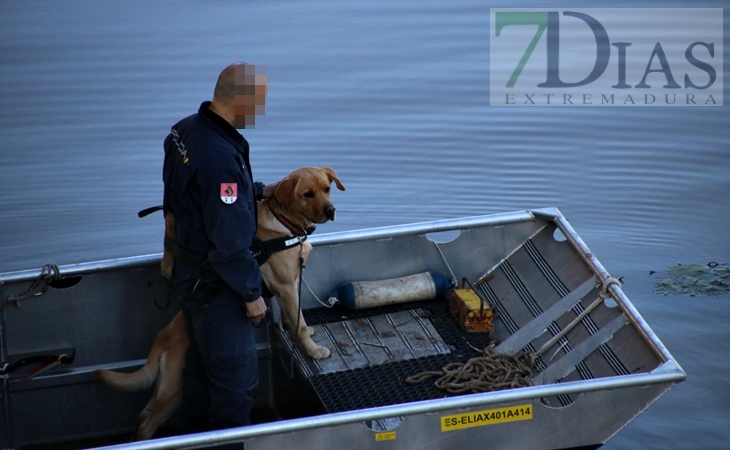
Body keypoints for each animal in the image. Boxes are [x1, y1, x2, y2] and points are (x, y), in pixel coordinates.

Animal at [96, 166, 344, 440]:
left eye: (327, 189)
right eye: (307, 194)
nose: (331, 210)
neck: (285, 223)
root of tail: (162, 338)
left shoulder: (291, 284)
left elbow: (297, 316)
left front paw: (307, 330)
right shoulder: (286, 286)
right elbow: (297, 323)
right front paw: (313, 350)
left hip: (165, 388)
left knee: (142, 416)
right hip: (174, 390)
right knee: (145, 426)